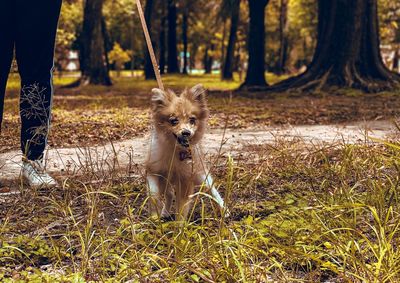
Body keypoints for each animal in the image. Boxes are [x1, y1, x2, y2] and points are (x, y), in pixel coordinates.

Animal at [145, 85, 227, 222]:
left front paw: (180, 224)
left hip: (202, 176)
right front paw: (154, 215)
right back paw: (165, 212)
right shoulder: (154, 171)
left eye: (192, 120)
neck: (175, 149)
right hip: (165, 181)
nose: (186, 132)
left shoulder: (185, 179)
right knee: (169, 194)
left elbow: (182, 206)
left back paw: (224, 209)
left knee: (213, 191)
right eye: (173, 121)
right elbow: (153, 194)